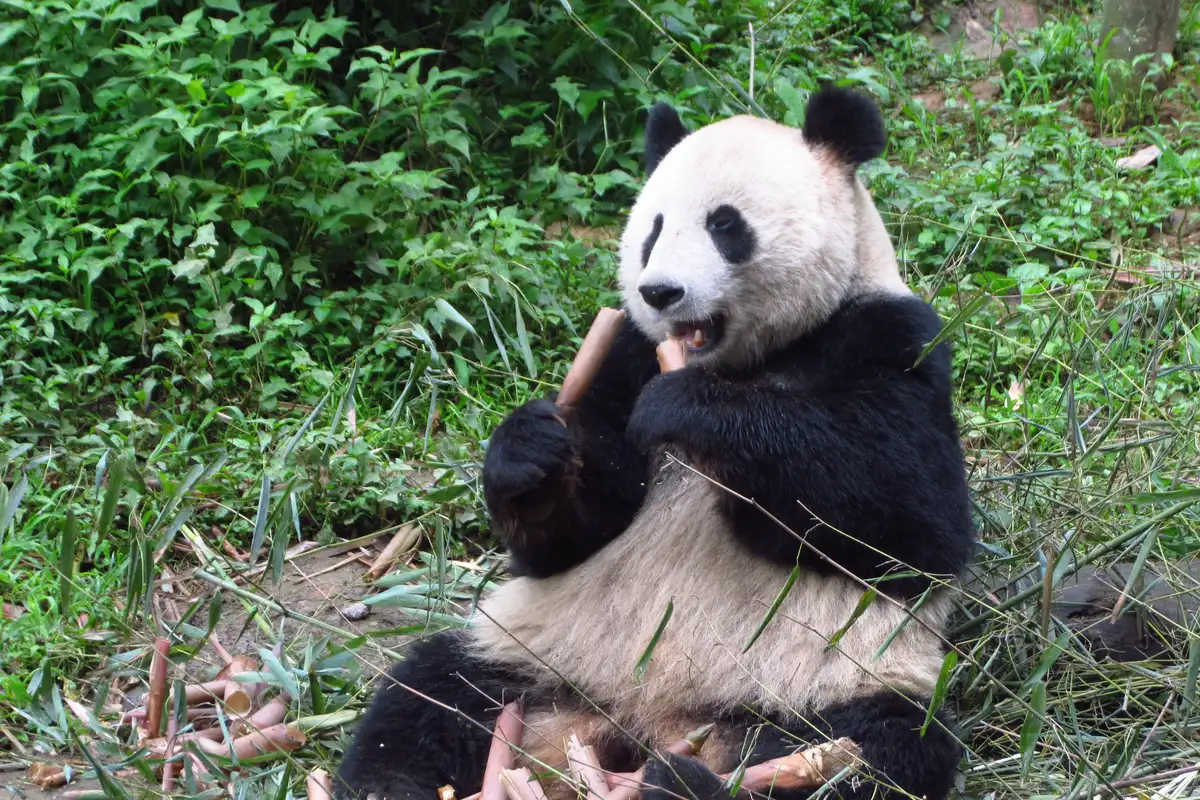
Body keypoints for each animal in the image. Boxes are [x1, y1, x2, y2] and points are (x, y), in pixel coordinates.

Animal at [335, 84, 975, 800]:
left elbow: (908, 521)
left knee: (879, 752)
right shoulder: (627, 351)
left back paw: (685, 780)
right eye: (653, 229)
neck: (743, 361)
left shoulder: (893, 339)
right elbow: (580, 528)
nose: (661, 292)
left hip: (827, 682)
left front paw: (690, 411)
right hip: (536, 655)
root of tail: (637, 725)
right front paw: (532, 455)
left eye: (725, 225)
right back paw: (394, 782)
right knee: (431, 695)